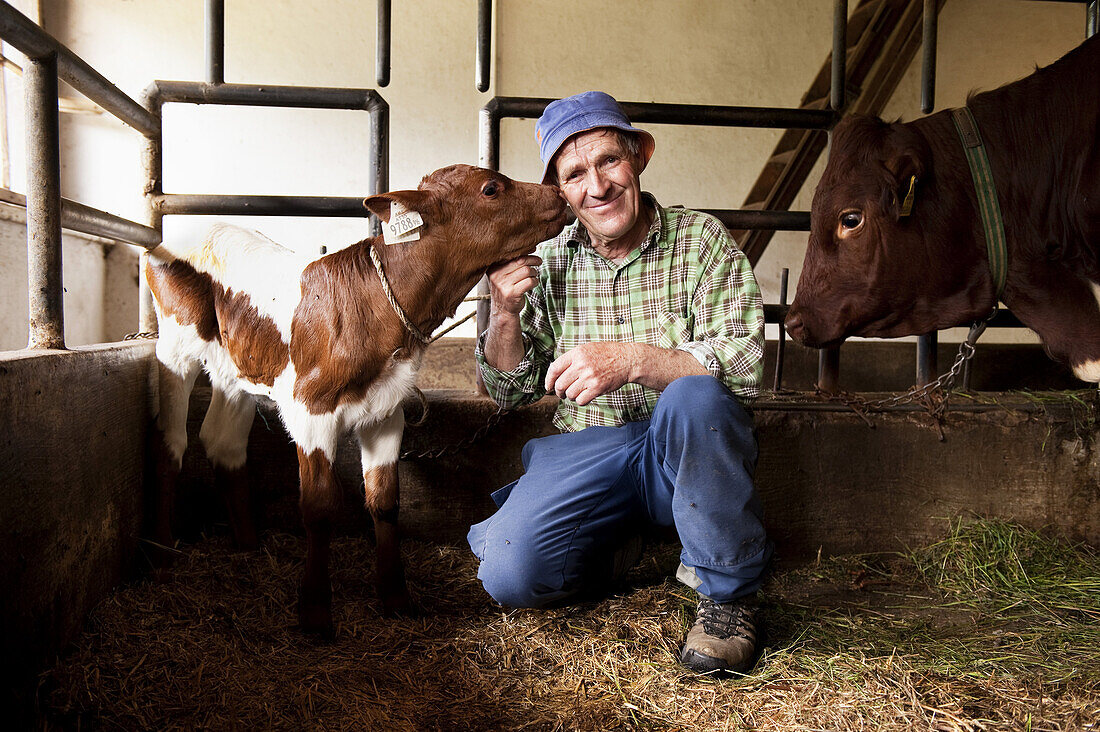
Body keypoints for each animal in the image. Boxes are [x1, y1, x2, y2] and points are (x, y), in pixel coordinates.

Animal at [145, 164, 567, 634]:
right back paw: (161, 552)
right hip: (175, 345)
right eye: (491, 188)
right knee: (171, 443)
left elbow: (384, 502)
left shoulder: (387, 411)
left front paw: (396, 597)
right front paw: (315, 610)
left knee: (223, 441)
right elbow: (319, 506)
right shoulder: (311, 409)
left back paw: (249, 544)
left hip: (236, 368)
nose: (557, 192)